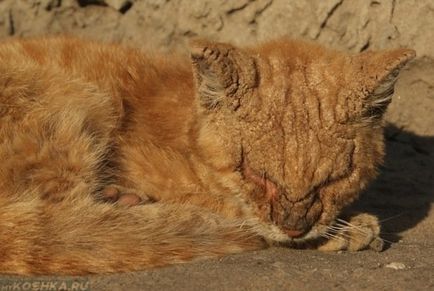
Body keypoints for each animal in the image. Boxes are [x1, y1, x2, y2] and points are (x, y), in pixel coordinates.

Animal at [0, 37, 414, 276]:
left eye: (334, 179)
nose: (295, 227)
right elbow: (235, 214)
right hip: (75, 111)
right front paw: (346, 231)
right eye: (254, 174)